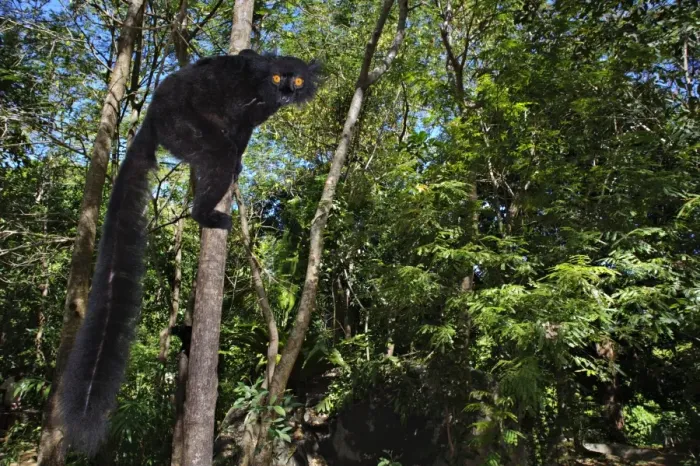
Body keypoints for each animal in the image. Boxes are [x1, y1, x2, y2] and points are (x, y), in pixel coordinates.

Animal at [59, 49, 320, 456]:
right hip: (183, 126)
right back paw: (207, 212)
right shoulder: (250, 102)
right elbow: (238, 122)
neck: (262, 90)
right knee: (219, 154)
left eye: (297, 80)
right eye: (279, 78)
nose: (287, 93)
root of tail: (152, 116)